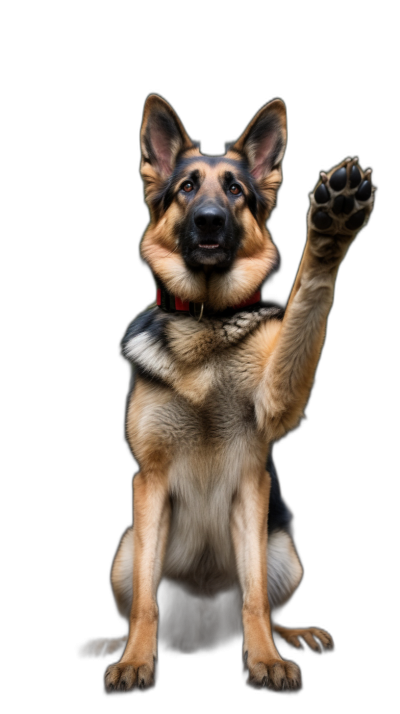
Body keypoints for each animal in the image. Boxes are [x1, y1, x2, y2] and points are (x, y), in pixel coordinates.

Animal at [82, 94, 376, 688]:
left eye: (236, 190)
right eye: (186, 187)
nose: (210, 220)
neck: (206, 318)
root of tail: (197, 630)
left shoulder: (266, 435)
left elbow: (254, 599)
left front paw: (332, 225)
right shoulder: (149, 484)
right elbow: (146, 603)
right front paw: (134, 661)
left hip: (283, 551)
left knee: (260, 596)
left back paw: (290, 636)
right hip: (125, 551)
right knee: (139, 595)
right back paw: (114, 642)